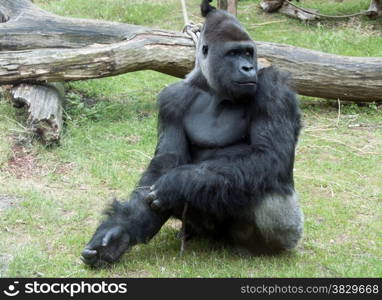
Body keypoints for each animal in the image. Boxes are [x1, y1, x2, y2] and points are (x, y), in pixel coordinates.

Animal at [81, 0, 304, 268]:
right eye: (233, 54)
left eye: (249, 52)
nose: (248, 67)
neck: (213, 89)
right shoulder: (172, 99)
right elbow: (166, 160)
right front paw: (118, 233)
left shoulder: (274, 88)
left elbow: (269, 154)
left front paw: (176, 183)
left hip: (290, 231)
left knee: (266, 188)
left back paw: (258, 248)